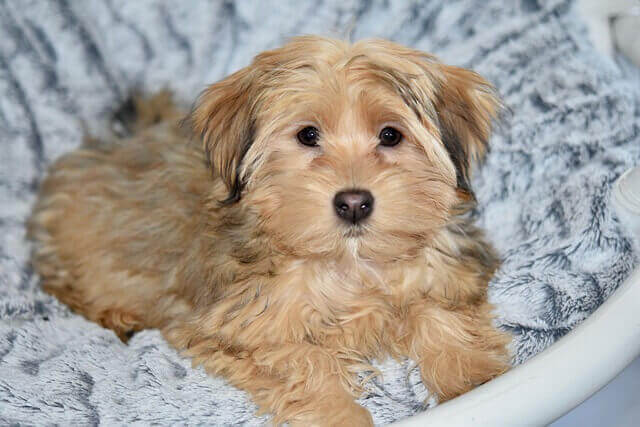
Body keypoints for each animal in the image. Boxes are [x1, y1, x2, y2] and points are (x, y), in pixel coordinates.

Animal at [28, 37, 510, 427]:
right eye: (308, 135)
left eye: (390, 135)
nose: (354, 202)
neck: (348, 264)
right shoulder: (235, 326)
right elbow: (303, 360)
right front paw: (340, 414)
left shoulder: (448, 273)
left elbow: (440, 313)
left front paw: (473, 378)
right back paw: (116, 315)